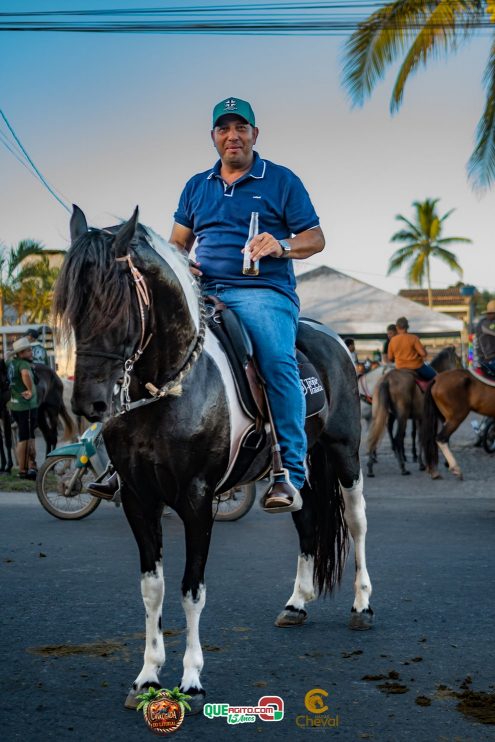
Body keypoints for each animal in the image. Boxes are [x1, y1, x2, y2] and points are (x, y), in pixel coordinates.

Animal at [54, 208, 372, 716]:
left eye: (114, 302)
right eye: (69, 307)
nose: (89, 403)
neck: (172, 386)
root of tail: (332, 338)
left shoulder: (197, 501)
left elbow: (191, 589)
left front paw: (191, 679)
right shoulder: (139, 500)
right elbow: (153, 589)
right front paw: (147, 676)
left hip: (344, 452)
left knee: (358, 522)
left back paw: (362, 605)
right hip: (299, 469)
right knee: (305, 521)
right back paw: (297, 603)